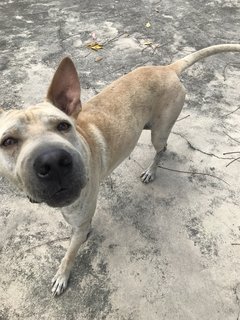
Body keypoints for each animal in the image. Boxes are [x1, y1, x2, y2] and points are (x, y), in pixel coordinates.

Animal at [0, 43, 239, 296]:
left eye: (63, 126)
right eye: (8, 141)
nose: (53, 161)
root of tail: (166, 68)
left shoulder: (80, 222)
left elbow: (69, 254)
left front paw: (62, 275)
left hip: (158, 132)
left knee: (161, 149)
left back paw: (151, 171)